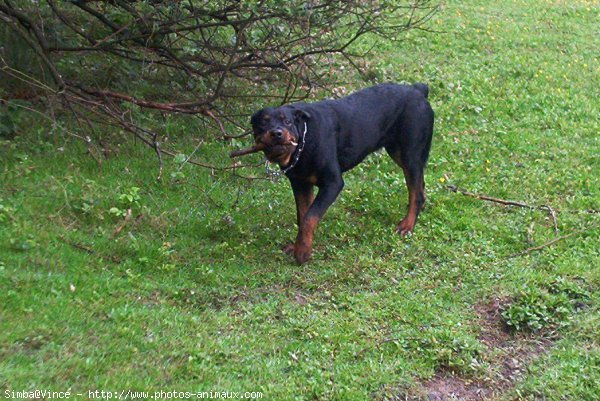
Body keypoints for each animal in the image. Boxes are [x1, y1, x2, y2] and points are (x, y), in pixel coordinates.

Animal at [246, 83, 434, 264]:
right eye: (263, 123)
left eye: (287, 122)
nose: (276, 133)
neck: (304, 141)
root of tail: (418, 89)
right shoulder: (300, 184)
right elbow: (303, 215)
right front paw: (298, 245)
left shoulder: (333, 183)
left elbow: (310, 217)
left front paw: (302, 252)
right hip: (397, 152)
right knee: (420, 185)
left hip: (409, 153)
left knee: (415, 192)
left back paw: (407, 225)